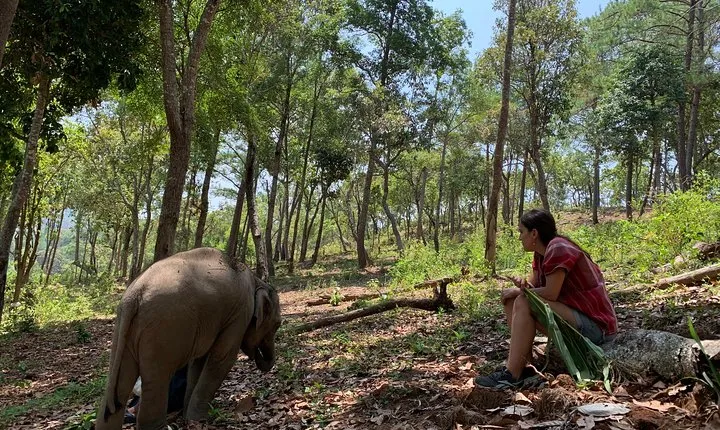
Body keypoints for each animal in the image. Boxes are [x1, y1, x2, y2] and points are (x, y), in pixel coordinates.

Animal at [95, 247, 282, 430]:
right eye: (277, 325)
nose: (257, 355)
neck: (257, 280)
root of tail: (134, 295)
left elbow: (198, 363)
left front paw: (188, 416)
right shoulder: (241, 312)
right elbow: (223, 359)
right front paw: (200, 418)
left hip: (125, 329)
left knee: (120, 386)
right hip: (164, 327)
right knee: (156, 380)